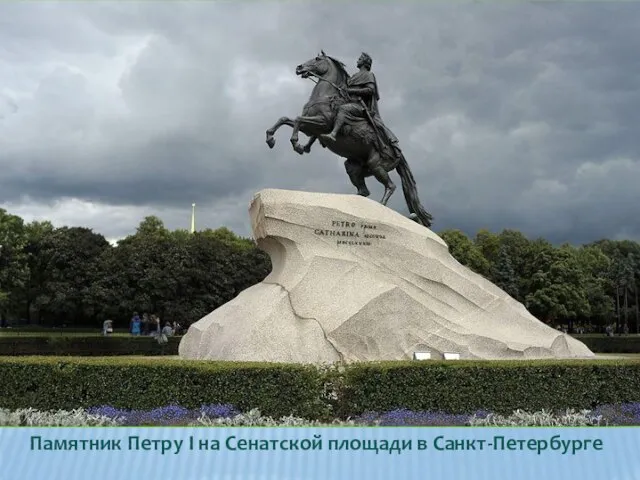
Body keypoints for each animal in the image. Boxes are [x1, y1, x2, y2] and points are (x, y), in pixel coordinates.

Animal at [262, 51, 432, 228]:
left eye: (317, 59)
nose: (299, 67)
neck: (326, 95)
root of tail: (398, 152)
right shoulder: (310, 128)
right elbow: (285, 119)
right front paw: (271, 139)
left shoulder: (321, 123)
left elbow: (297, 119)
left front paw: (296, 143)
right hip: (353, 167)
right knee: (364, 191)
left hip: (376, 165)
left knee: (390, 186)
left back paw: (382, 209)